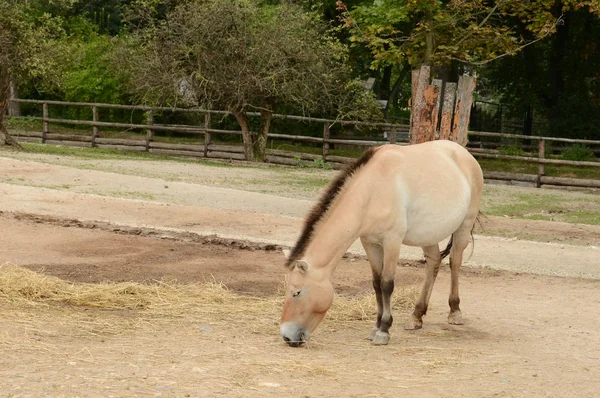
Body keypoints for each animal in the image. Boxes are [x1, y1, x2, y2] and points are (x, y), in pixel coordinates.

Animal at [280, 140, 482, 346]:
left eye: (297, 293)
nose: (287, 336)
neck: (372, 191)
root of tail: (464, 153)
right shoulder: (370, 243)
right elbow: (376, 283)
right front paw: (376, 327)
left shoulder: (392, 241)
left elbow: (387, 284)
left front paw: (384, 330)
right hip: (428, 235)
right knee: (433, 262)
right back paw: (416, 316)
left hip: (463, 227)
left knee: (455, 262)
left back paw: (455, 312)